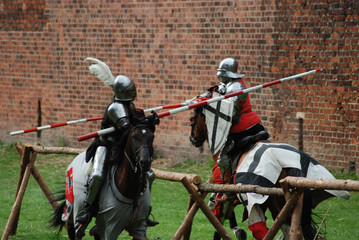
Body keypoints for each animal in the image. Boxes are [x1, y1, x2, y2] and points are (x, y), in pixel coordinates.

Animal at [50, 112, 159, 240]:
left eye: (152, 137)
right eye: (134, 136)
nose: (145, 162)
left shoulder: (139, 225)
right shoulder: (110, 227)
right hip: (74, 205)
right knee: (75, 228)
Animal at [190, 107, 350, 240]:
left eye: (192, 119)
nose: (193, 139)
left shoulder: (227, 190)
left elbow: (220, 214)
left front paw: (237, 231)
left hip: (274, 204)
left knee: (267, 229)